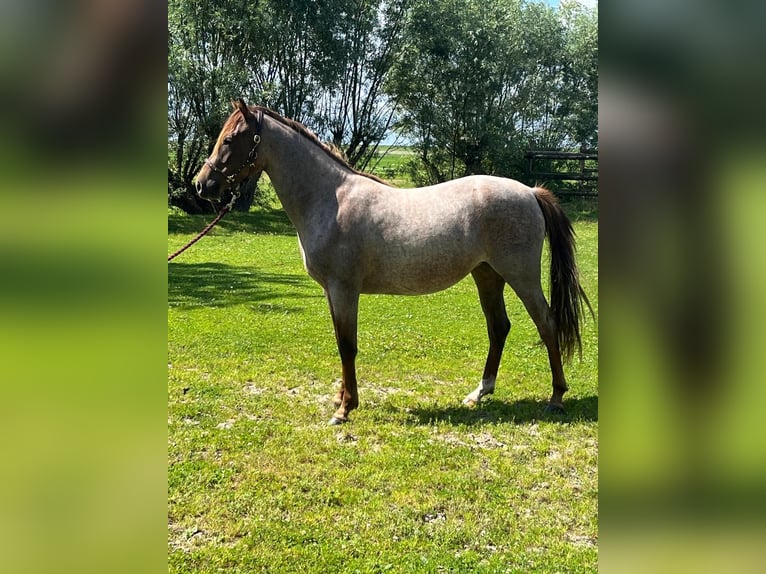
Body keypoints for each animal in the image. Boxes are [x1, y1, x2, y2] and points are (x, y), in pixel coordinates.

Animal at [195, 99, 596, 426]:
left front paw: (345, 409)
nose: (202, 185)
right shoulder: (331, 292)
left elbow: (348, 345)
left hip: (521, 276)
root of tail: (530, 191)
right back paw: (479, 392)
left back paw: (556, 398)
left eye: (231, 139)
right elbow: (340, 342)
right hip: (487, 276)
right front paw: (341, 400)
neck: (330, 199)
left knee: (547, 324)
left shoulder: (344, 289)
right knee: (499, 328)